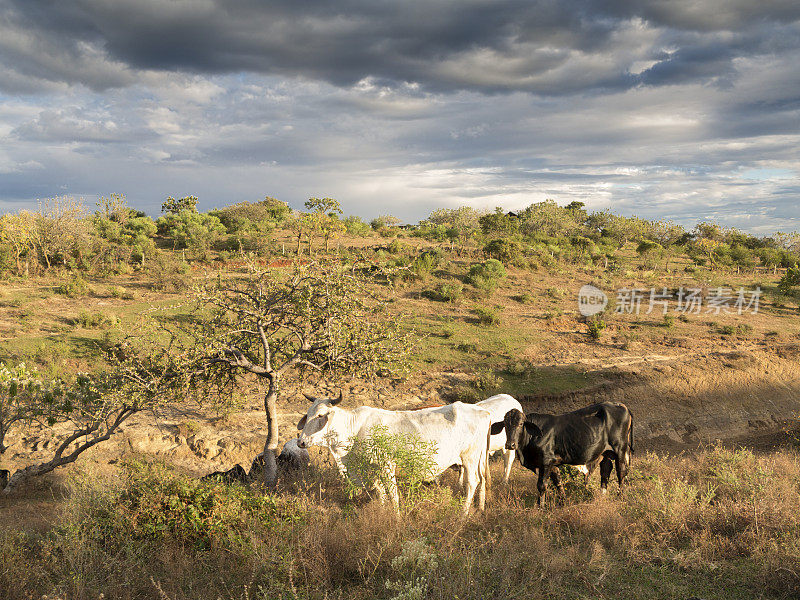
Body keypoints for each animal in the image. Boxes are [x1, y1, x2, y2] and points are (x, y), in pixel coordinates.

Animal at [296, 390, 490, 516]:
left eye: (321, 415)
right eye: (308, 414)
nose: (301, 442)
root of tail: (483, 411)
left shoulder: (386, 465)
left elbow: (392, 494)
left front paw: (396, 518)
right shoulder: (372, 468)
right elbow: (380, 491)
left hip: (470, 457)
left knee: (472, 482)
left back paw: (463, 514)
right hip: (480, 457)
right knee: (483, 479)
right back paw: (481, 507)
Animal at [490, 400, 636, 504]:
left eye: (521, 424)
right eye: (505, 425)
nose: (510, 444)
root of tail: (620, 405)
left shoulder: (546, 462)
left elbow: (542, 485)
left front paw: (540, 507)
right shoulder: (552, 464)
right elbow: (558, 483)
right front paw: (562, 503)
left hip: (620, 449)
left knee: (621, 472)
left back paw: (620, 497)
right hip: (605, 452)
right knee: (605, 470)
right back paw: (602, 496)